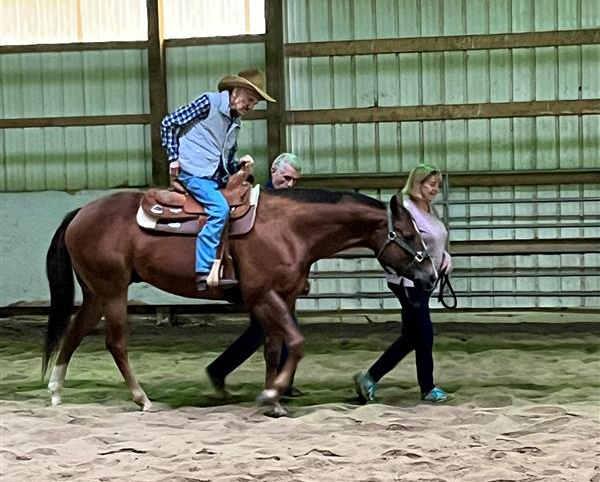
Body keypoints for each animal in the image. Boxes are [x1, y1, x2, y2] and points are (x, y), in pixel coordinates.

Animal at [42, 187, 436, 410]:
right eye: (405, 233)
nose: (430, 275)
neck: (288, 229)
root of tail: (80, 213)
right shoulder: (264, 296)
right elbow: (296, 342)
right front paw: (271, 395)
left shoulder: (283, 299)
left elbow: (274, 348)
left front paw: (273, 399)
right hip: (113, 290)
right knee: (116, 343)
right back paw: (142, 399)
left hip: (96, 292)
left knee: (74, 333)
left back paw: (56, 392)